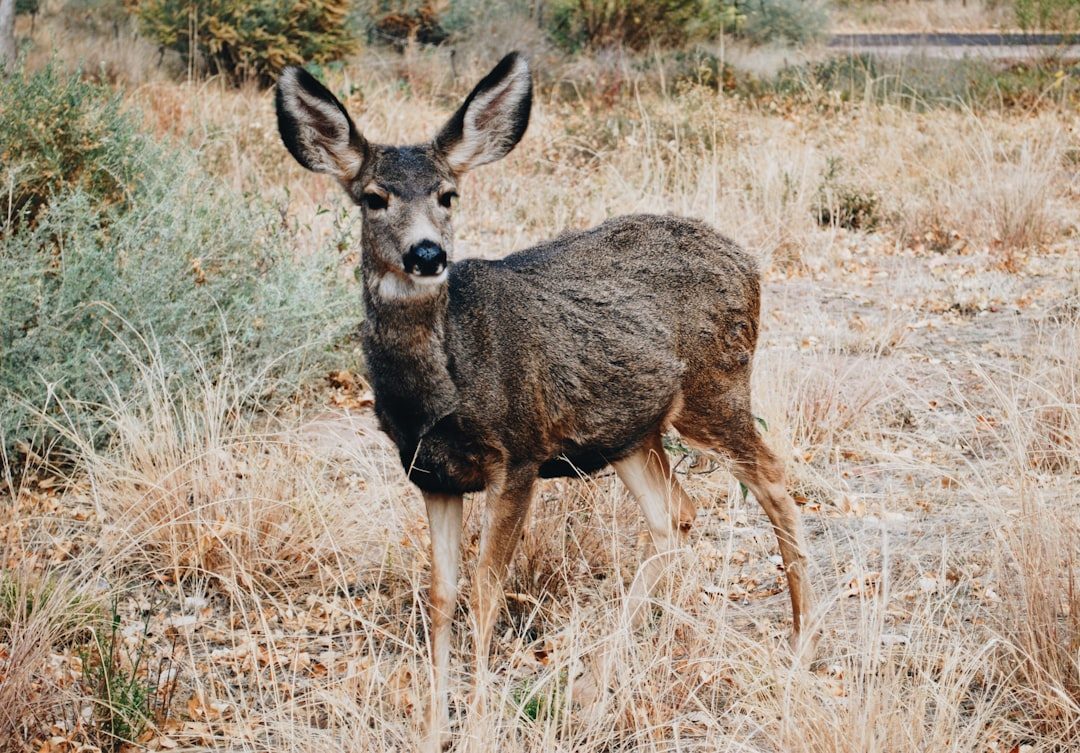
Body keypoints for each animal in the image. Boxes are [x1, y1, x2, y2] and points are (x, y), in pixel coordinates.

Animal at [275, 52, 816, 751]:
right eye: (374, 197)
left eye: (449, 194)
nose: (428, 253)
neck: (440, 388)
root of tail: (748, 262)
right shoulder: (430, 474)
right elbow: (442, 594)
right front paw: (432, 729)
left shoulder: (519, 452)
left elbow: (486, 590)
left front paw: (478, 726)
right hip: (629, 430)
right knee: (674, 515)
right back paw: (593, 689)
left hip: (714, 387)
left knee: (772, 476)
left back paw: (801, 644)